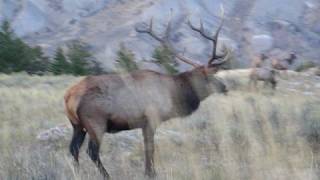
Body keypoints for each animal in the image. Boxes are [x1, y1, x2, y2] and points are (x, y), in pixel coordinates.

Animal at [65, 6, 230, 179]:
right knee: (92, 151)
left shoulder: (144, 123)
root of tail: (69, 96)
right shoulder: (151, 118)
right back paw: (107, 175)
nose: (224, 87)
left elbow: (147, 147)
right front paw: (150, 173)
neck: (173, 95)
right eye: (211, 76)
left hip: (77, 125)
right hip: (96, 123)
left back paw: (77, 173)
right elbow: (150, 148)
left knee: (73, 149)